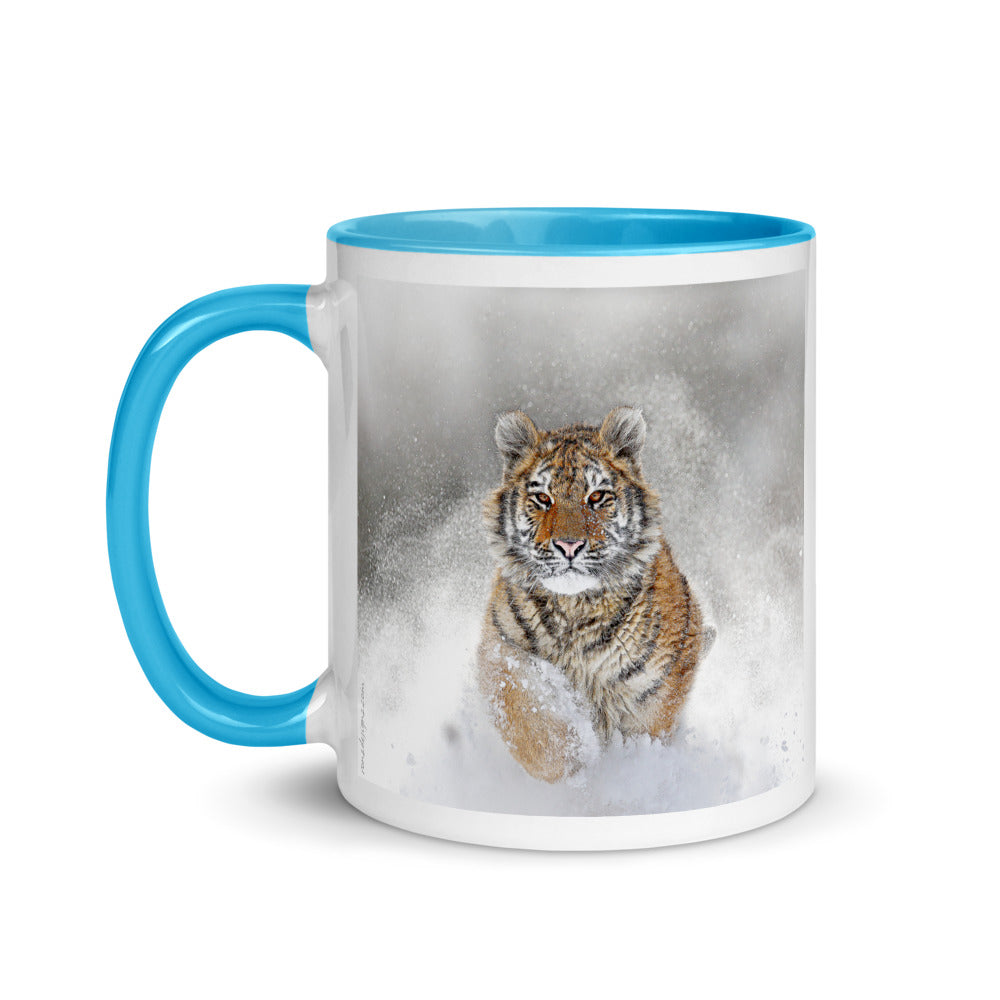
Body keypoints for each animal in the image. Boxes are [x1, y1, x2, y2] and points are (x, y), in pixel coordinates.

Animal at [477, 406, 715, 783]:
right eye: (543, 498)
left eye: (597, 497)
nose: (568, 545)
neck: (575, 608)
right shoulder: (500, 650)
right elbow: (529, 717)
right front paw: (574, 754)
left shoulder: (655, 688)